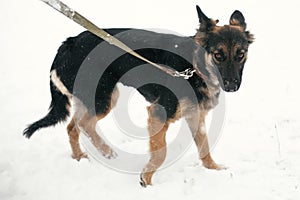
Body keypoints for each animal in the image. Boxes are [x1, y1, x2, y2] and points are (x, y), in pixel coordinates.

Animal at [22, 6, 253, 188]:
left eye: (240, 54)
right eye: (218, 55)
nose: (232, 86)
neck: (193, 66)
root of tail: (67, 44)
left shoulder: (195, 115)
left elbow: (204, 146)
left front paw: (213, 169)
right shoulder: (158, 113)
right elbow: (161, 153)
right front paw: (147, 181)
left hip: (96, 97)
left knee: (73, 126)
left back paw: (80, 157)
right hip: (103, 97)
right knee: (83, 124)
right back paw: (106, 151)